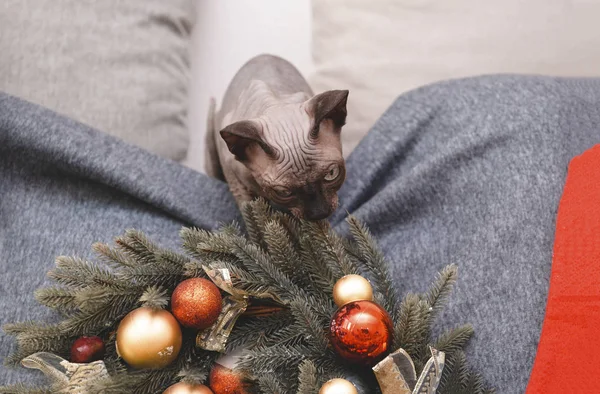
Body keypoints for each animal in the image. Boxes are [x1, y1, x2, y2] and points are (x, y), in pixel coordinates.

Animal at [206, 53, 350, 220]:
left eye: (331, 174)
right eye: (283, 192)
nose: (319, 213)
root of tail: (263, 55)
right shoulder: (234, 177)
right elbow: (251, 215)